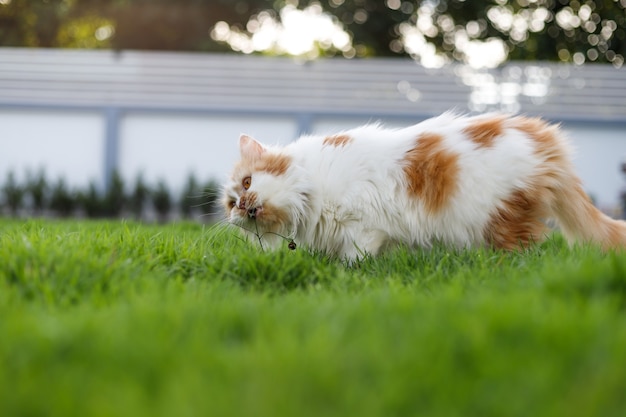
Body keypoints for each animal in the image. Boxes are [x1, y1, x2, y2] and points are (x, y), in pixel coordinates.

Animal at [221, 112, 624, 258]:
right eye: (229, 204)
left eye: (247, 182)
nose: (239, 207)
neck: (310, 189)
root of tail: (545, 138)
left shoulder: (363, 225)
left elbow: (354, 258)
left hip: (499, 219)